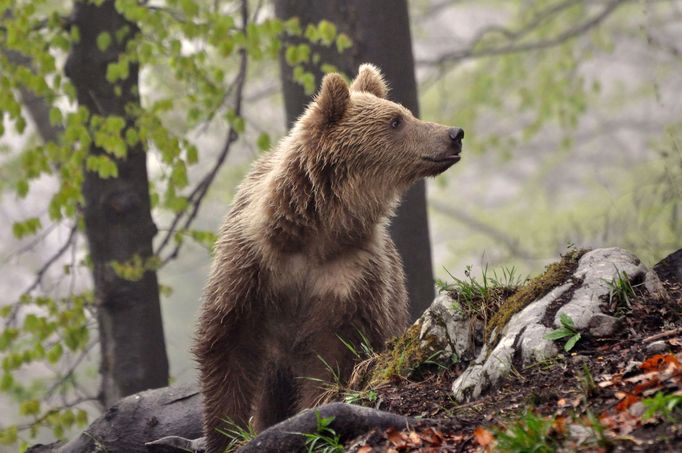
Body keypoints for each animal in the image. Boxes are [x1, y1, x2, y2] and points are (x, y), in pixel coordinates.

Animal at [194, 62, 464, 448]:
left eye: (405, 114)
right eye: (396, 120)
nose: (454, 133)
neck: (317, 229)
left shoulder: (349, 278)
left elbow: (332, 354)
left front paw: (316, 412)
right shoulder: (251, 266)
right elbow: (228, 346)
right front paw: (227, 434)